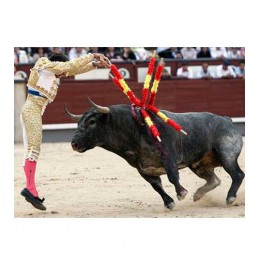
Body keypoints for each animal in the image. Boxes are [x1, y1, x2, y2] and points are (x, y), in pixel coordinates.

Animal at [65, 98, 246, 210]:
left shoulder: (168, 157)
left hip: (226, 154)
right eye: (79, 123)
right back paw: (198, 195)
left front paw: (181, 194)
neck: (133, 130)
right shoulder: (144, 169)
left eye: (92, 122)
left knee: (237, 174)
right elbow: (156, 186)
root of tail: (226, 119)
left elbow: (172, 177)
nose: (74, 144)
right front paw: (169, 203)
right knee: (214, 180)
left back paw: (230, 198)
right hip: (199, 164)